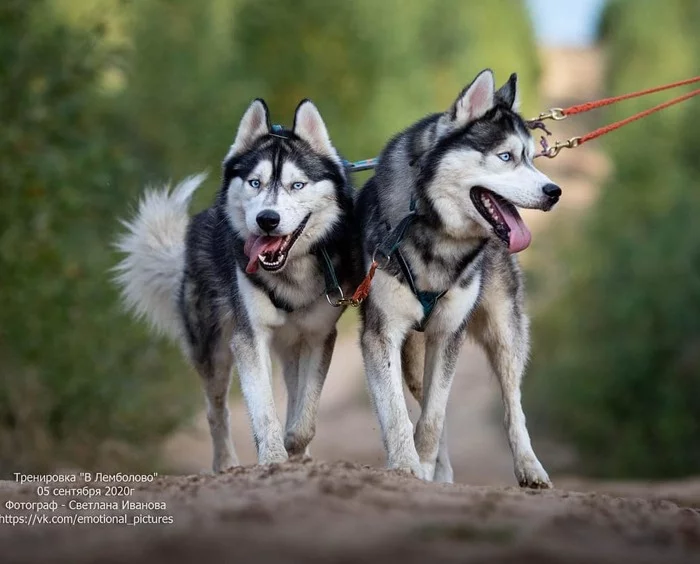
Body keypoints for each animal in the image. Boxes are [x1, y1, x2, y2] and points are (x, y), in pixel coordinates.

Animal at [116, 99, 356, 470]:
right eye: (255, 182)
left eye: (297, 185)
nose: (267, 219)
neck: (290, 274)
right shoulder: (248, 338)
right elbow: (263, 410)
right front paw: (274, 458)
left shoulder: (318, 336)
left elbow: (305, 414)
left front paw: (295, 448)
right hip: (212, 351)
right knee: (216, 412)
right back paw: (226, 463)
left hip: (290, 345)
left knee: (293, 392)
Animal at [358, 69, 560, 484]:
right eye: (506, 157)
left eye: (531, 158)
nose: (554, 192)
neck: (435, 234)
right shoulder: (381, 334)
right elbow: (398, 414)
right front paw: (408, 467)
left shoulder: (449, 332)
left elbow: (433, 418)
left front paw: (421, 463)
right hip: (415, 359)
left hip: (505, 333)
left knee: (511, 404)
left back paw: (528, 466)